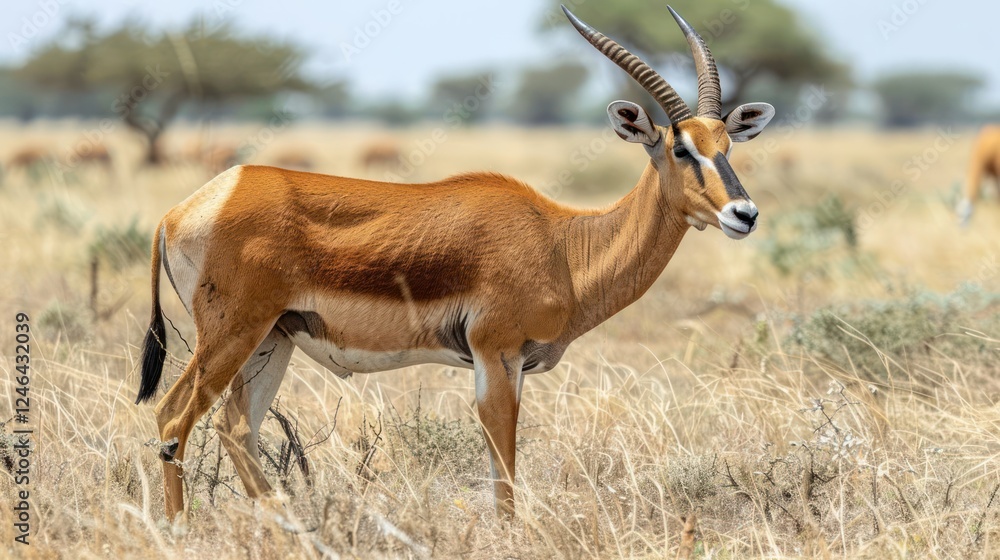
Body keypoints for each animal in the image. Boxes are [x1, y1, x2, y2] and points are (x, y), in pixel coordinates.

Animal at [136, 5, 775, 521]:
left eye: (726, 144)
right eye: (680, 148)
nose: (744, 214)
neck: (563, 243)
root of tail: (183, 208)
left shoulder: (513, 363)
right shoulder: (495, 354)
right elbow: (504, 464)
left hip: (273, 339)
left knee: (235, 427)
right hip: (231, 334)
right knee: (172, 419)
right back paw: (180, 529)